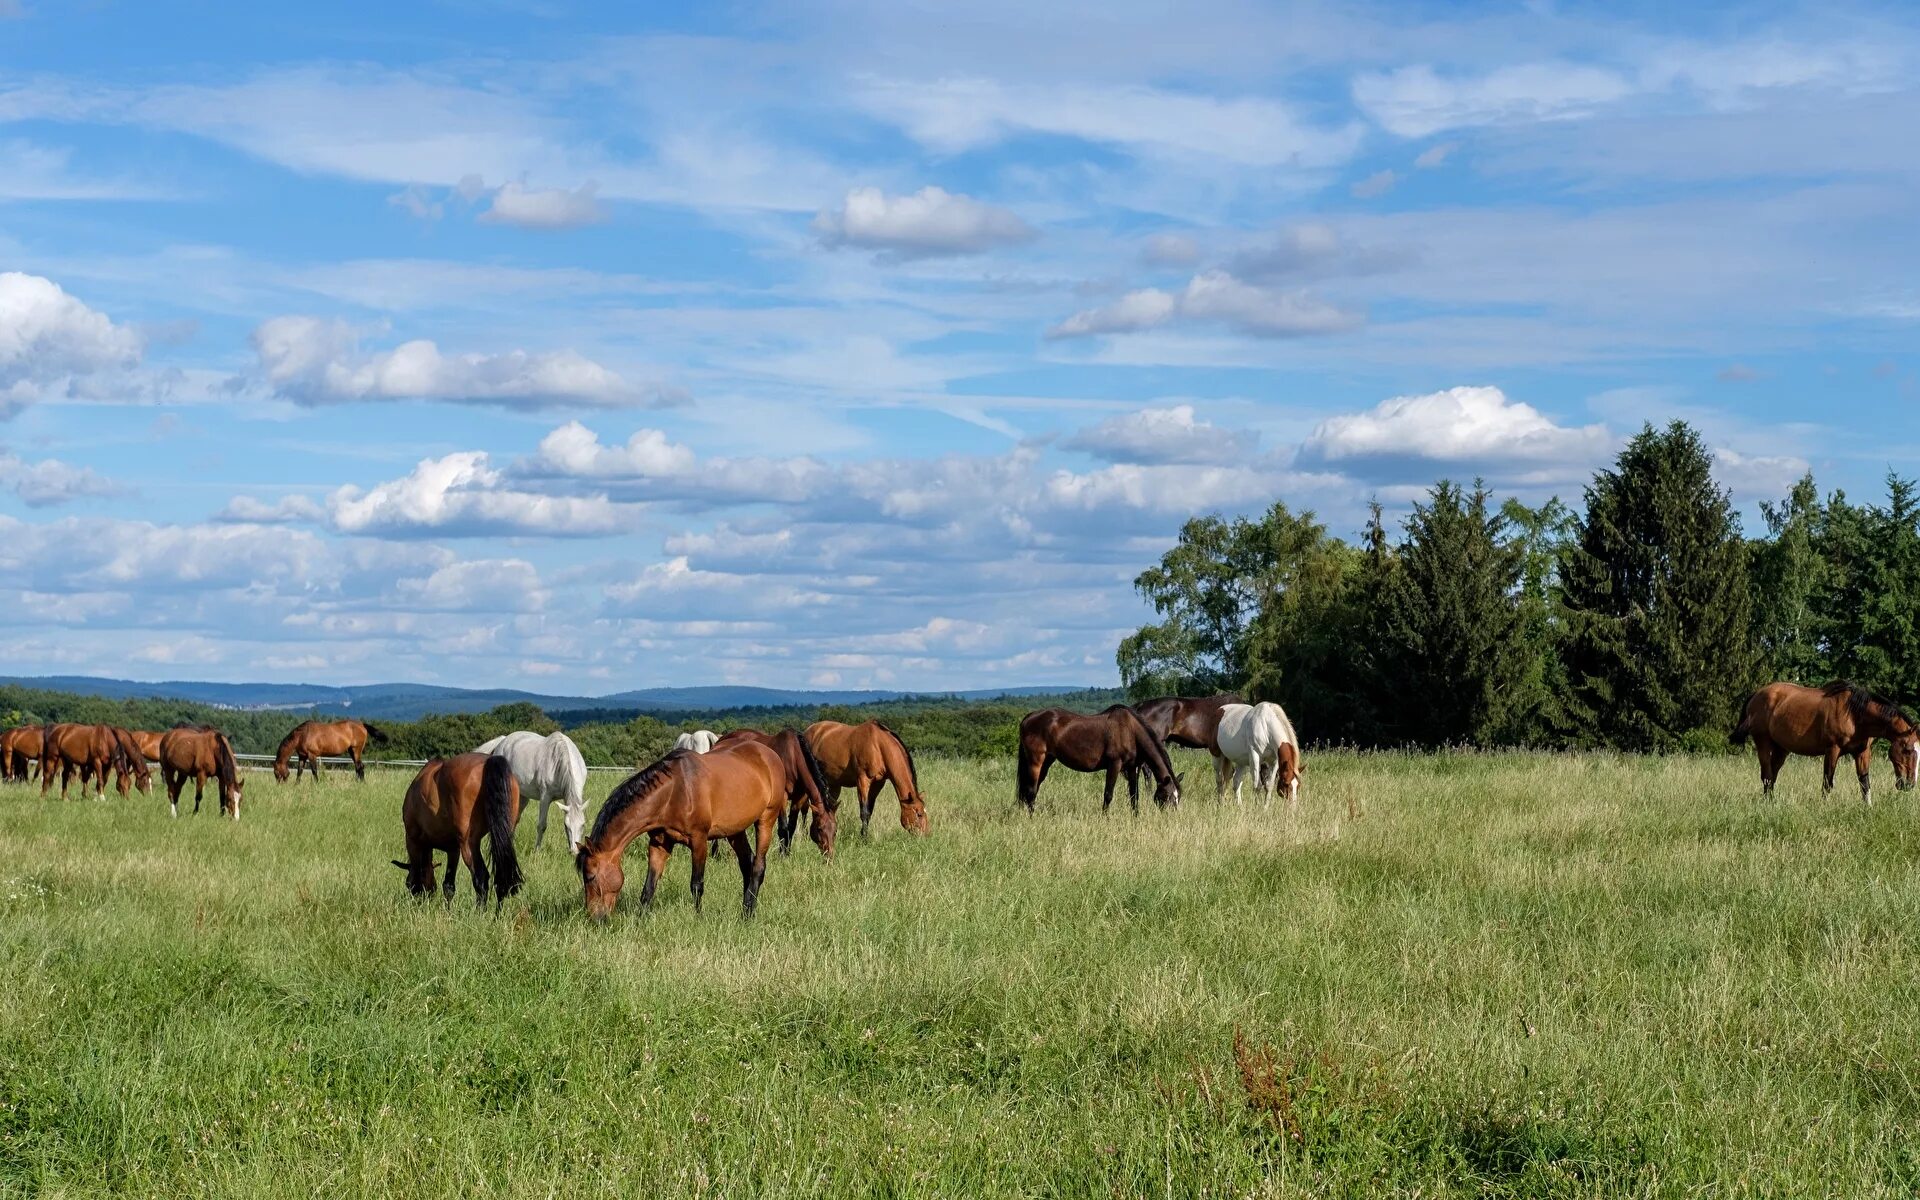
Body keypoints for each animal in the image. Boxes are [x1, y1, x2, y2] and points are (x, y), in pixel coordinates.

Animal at [393, 748, 522, 906]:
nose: (426, 899)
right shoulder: (453, 850)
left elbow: (419, 876)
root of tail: (488, 762)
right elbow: (448, 886)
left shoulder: (412, 840)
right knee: (501, 879)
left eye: (407, 884)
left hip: (469, 843)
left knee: (481, 878)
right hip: (503, 837)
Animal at [576, 741, 802, 917]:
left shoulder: (699, 840)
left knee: (758, 867)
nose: (595, 917)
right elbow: (649, 886)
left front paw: (698, 917)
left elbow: (696, 884)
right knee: (747, 864)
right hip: (735, 832)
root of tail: (770, 755)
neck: (674, 792)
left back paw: (748, 913)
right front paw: (641, 918)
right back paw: (744, 908)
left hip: (766, 820)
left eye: (590, 877)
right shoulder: (659, 844)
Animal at [710, 725, 837, 856]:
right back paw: (715, 853)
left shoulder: (799, 798)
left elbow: (791, 827)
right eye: (819, 828)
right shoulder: (783, 797)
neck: (793, 757)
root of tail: (719, 741)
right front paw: (782, 854)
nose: (829, 854)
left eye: (835, 830)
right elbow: (783, 828)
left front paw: (787, 852)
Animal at [1013, 702, 1175, 814]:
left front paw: (1135, 817)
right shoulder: (1114, 765)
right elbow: (1108, 794)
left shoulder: (1132, 768)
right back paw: (1032, 818)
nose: (1170, 817)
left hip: (1047, 761)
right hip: (1035, 761)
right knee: (1030, 791)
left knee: (1033, 789)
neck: (1130, 730)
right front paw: (1105, 818)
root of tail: (1029, 717)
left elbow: (1134, 796)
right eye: (1168, 796)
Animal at [1728, 679, 1920, 798]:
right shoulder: (1832, 750)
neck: (1855, 715)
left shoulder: (1862, 752)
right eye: (1908, 750)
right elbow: (1827, 782)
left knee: (1772, 776)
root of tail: (1756, 694)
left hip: (1781, 748)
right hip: (1763, 742)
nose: (1908, 785)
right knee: (1767, 776)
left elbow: (1865, 783)